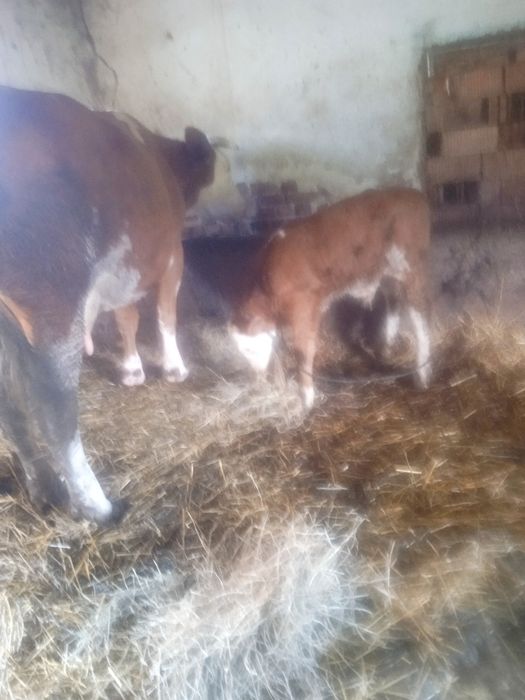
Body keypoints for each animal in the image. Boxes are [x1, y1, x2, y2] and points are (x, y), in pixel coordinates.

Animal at [0, 86, 216, 523]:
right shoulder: (172, 255)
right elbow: (165, 315)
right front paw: (173, 367)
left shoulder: (124, 270)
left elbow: (126, 318)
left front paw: (132, 369)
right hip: (52, 297)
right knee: (55, 409)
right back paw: (97, 506)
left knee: (8, 405)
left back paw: (43, 488)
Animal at [230, 187, 432, 408]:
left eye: (248, 348)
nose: (258, 375)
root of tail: (413, 194)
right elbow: (278, 352)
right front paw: (279, 385)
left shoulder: (302, 308)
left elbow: (303, 353)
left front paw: (306, 400)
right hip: (387, 273)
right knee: (393, 301)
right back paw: (386, 347)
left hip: (411, 266)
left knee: (420, 315)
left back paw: (423, 374)